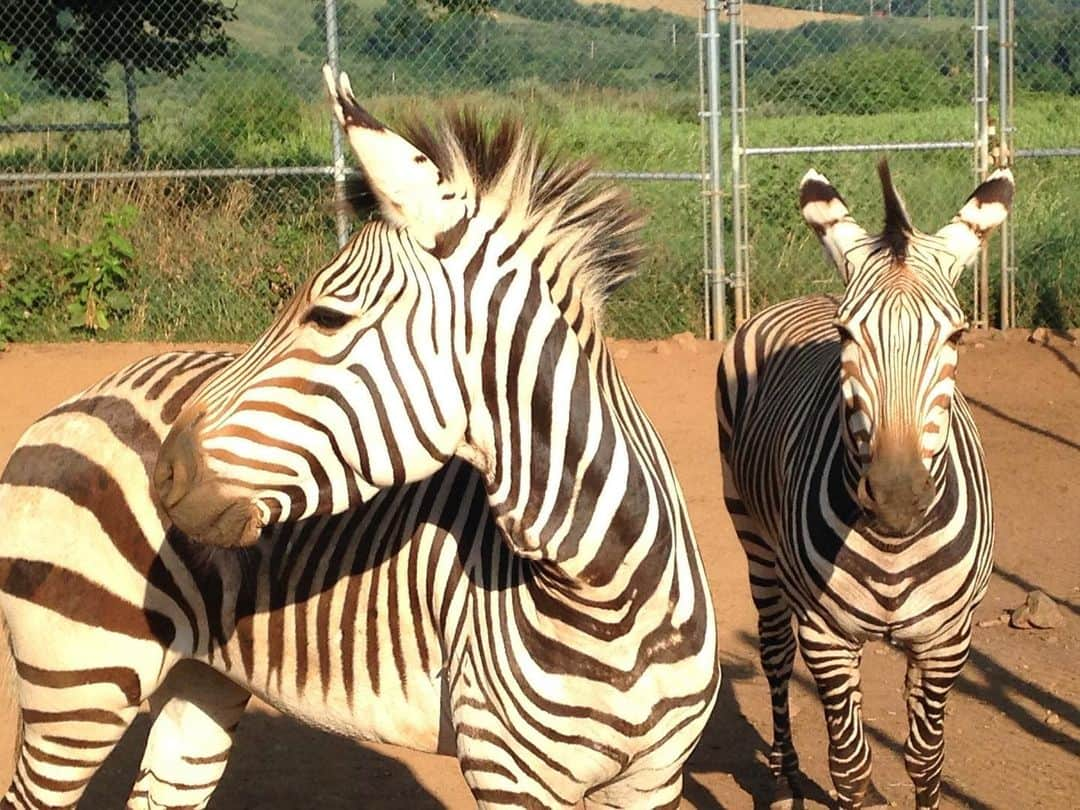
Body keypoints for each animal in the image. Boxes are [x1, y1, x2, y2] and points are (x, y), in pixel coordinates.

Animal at [4, 71, 721, 810]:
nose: (164, 474)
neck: (611, 595)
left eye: (326, 317)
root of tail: (81, 398)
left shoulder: (656, 780)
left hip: (199, 679)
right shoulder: (509, 777)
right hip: (77, 683)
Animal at [717, 163, 1010, 810]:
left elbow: (926, 761)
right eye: (847, 337)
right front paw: (846, 783)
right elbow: (848, 766)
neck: (894, 545)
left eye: (956, 338)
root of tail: (807, 295)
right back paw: (783, 780)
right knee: (775, 656)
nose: (898, 497)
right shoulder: (826, 636)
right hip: (753, 539)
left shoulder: (947, 640)